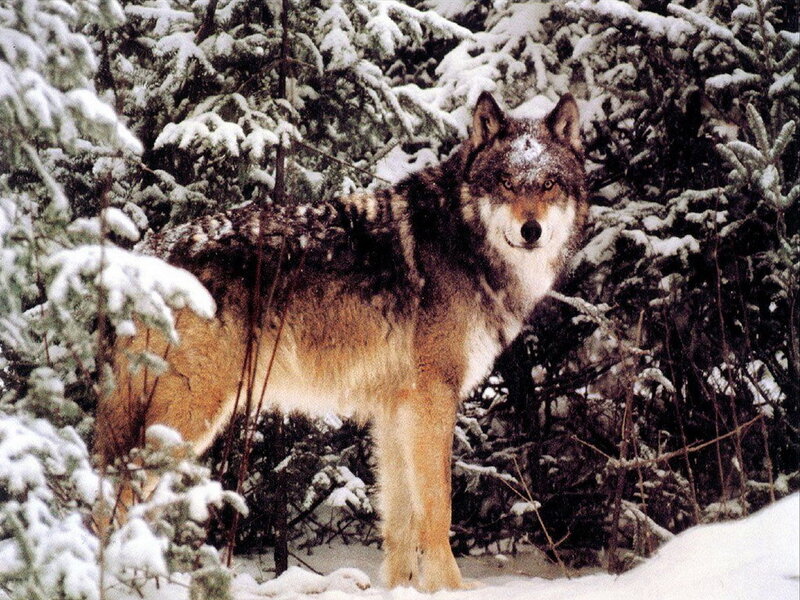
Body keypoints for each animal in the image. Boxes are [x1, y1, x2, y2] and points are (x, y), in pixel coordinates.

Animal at [95, 91, 587, 591]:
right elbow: (437, 509)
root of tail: (142, 254)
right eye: (506, 182)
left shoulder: (396, 409)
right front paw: (451, 588)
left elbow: (400, 518)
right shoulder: (432, 399)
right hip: (187, 418)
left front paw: (400, 587)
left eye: (548, 184)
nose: (531, 230)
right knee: (112, 494)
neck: (465, 243)